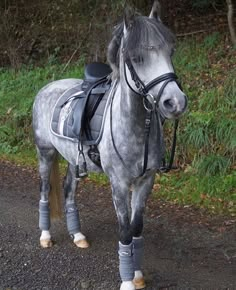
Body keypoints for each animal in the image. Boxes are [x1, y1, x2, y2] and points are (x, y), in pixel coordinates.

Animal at [32, 2, 188, 290]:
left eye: (170, 52)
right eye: (137, 58)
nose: (175, 102)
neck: (136, 125)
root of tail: (47, 87)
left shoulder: (145, 181)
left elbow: (137, 228)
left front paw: (137, 275)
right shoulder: (119, 183)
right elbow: (125, 230)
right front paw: (127, 282)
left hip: (73, 160)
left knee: (69, 191)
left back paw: (78, 235)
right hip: (45, 154)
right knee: (46, 191)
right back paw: (46, 236)